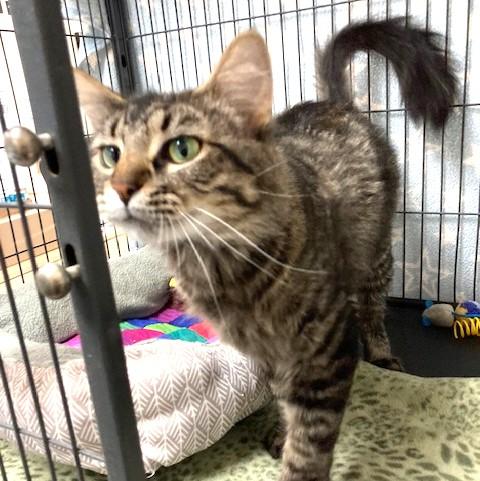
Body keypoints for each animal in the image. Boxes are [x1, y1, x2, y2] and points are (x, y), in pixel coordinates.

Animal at [74, 18, 456, 481]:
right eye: (110, 155)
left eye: (183, 149)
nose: (121, 186)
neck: (225, 270)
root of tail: (333, 103)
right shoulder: (270, 355)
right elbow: (285, 402)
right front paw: (281, 430)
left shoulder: (325, 354)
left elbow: (308, 447)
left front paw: (297, 455)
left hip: (375, 254)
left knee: (371, 309)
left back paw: (382, 353)